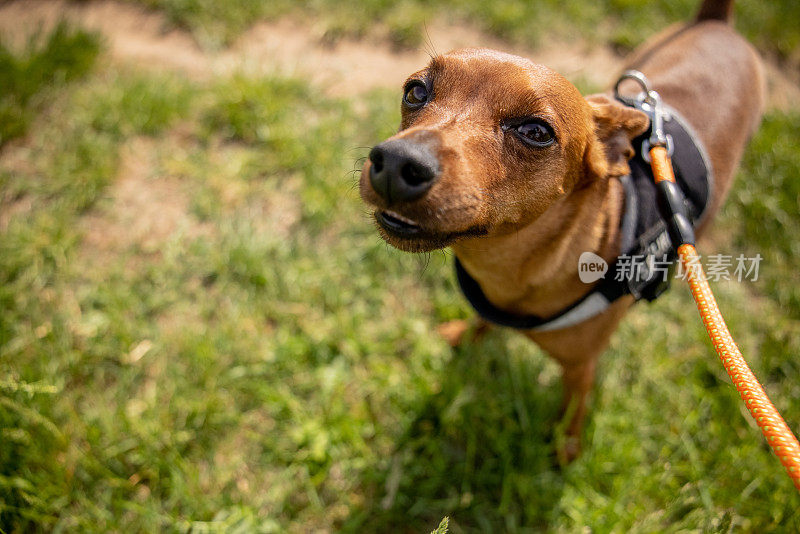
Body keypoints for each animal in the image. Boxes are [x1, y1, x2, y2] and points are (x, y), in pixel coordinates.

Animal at [358, 0, 764, 460]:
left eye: (536, 131)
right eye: (416, 91)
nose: (396, 162)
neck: (510, 269)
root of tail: (716, 21)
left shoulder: (581, 369)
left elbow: (573, 411)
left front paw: (566, 449)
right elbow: (482, 320)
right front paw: (466, 334)